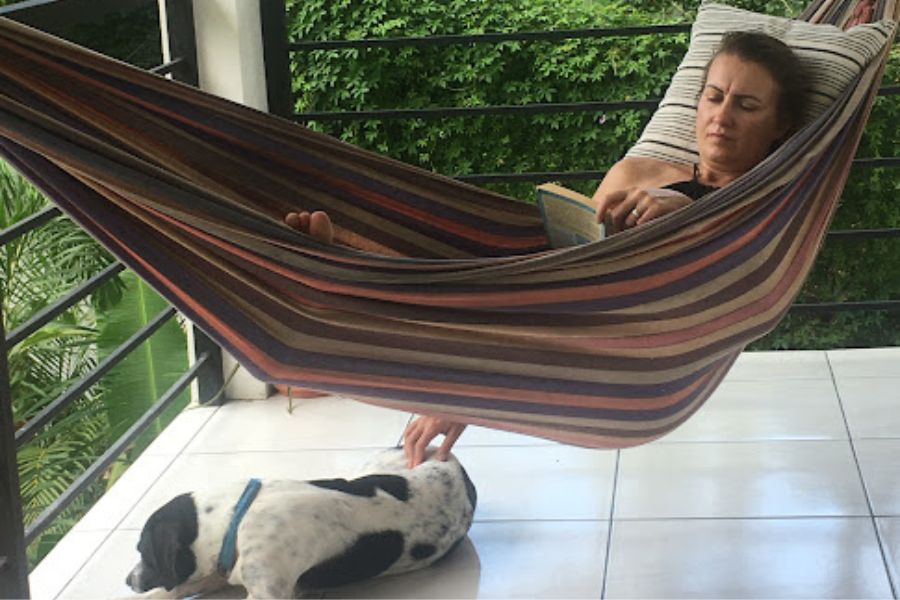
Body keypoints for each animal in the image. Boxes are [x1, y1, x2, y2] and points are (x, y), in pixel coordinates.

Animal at [128, 448, 478, 596]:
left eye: (143, 551)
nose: (127, 581)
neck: (238, 519)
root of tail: (460, 470)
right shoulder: (222, 572)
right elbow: (170, 591)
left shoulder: (266, 592)